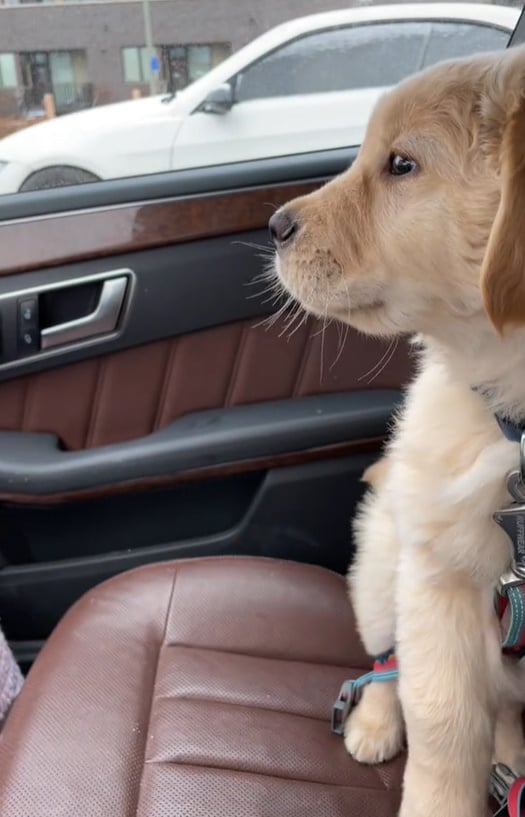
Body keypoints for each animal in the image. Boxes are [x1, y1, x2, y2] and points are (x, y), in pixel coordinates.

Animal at [270, 47, 525, 816]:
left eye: (402, 164)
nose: (274, 225)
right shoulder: (438, 579)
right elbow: (443, 724)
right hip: (387, 562)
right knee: (389, 663)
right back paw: (375, 721)